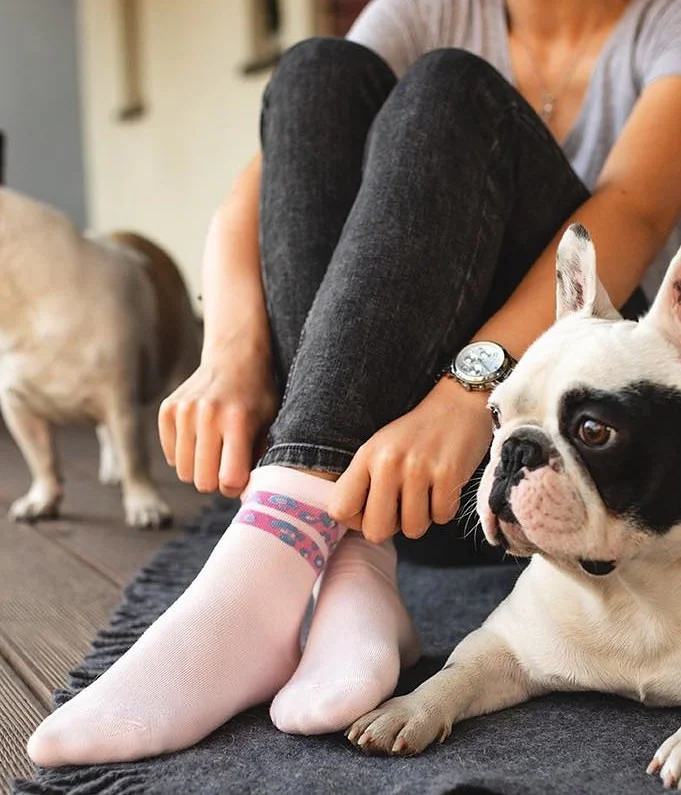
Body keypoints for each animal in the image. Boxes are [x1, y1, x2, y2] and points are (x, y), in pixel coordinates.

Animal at [0, 187, 200, 527]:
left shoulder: (121, 403)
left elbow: (136, 459)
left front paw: (145, 504)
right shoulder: (17, 406)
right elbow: (41, 459)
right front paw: (42, 500)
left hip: (182, 355)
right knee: (104, 434)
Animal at [347, 224, 681, 788]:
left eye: (593, 431)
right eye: (496, 415)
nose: (517, 449)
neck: (635, 587)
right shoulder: (506, 642)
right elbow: (458, 672)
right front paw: (406, 709)